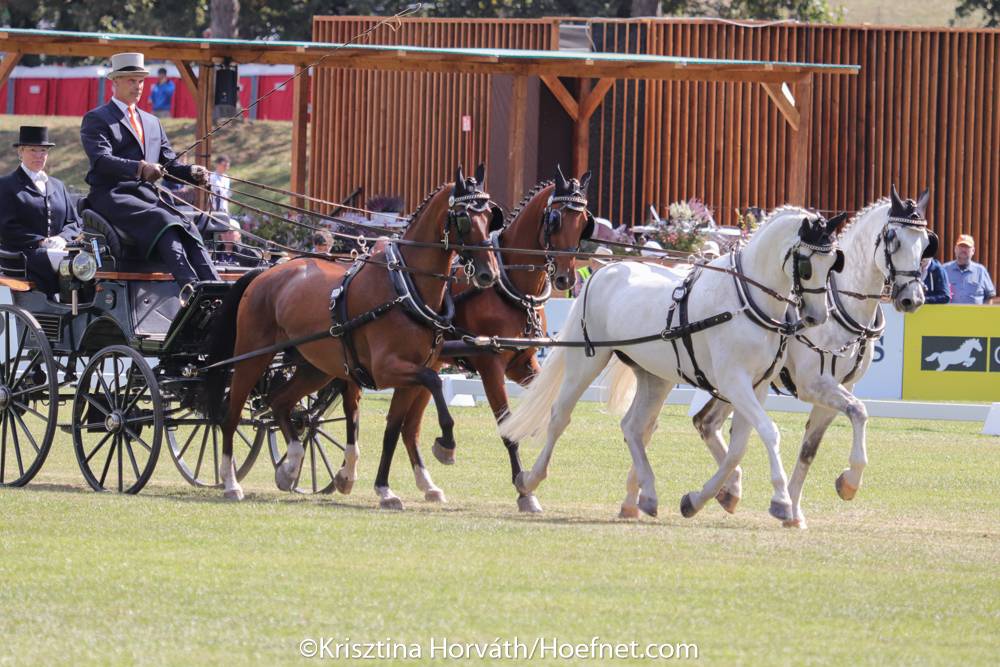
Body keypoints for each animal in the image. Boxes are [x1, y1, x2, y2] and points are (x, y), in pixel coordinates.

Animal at [201, 164, 502, 502]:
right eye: (463, 217)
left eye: (490, 216)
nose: (489, 273)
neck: (404, 287)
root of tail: (265, 272)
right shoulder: (387, 369)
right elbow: (433, 383)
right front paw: (446, 445)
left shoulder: (410, 372)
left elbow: (395, 427)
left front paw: (385, 487)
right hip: (252, 357)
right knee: (230, 415)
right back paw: (231, 482)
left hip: (314, 368)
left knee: (280, 402)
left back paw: (290, 466)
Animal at [382, 166, 596, 512]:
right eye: (555, 219)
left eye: (584, 223)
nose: (565, 277)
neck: (510, 287)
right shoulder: (490, 364)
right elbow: (506, 425)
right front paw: (525, 493)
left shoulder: (523, 364)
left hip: (429, 365)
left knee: (409, 425)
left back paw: (428, 485)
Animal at [499, 207, 848, 521]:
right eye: (806, 265)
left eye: (834, 263)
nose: (817, 316)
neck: (747, 300)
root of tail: (603, 270)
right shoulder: (734, 382)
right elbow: (768, 432)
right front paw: (781, 502)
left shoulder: (757, 386)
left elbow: (738, 448)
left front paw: (700, 499)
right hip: (586, 361)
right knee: (560, 416)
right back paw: (529, 482)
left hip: (655, 376)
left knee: (633, 427)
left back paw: (648, 495)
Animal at [691, 186, 935, 528]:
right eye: (893, 238)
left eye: (926, 243)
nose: (912, 298)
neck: (840, 302)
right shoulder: (813, 385)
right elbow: (859, 412)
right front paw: (849, 482)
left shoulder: (838, 389)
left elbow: (810, 449)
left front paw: (793, 511)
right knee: (705, 422)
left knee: (706, 423)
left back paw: (729, 490)